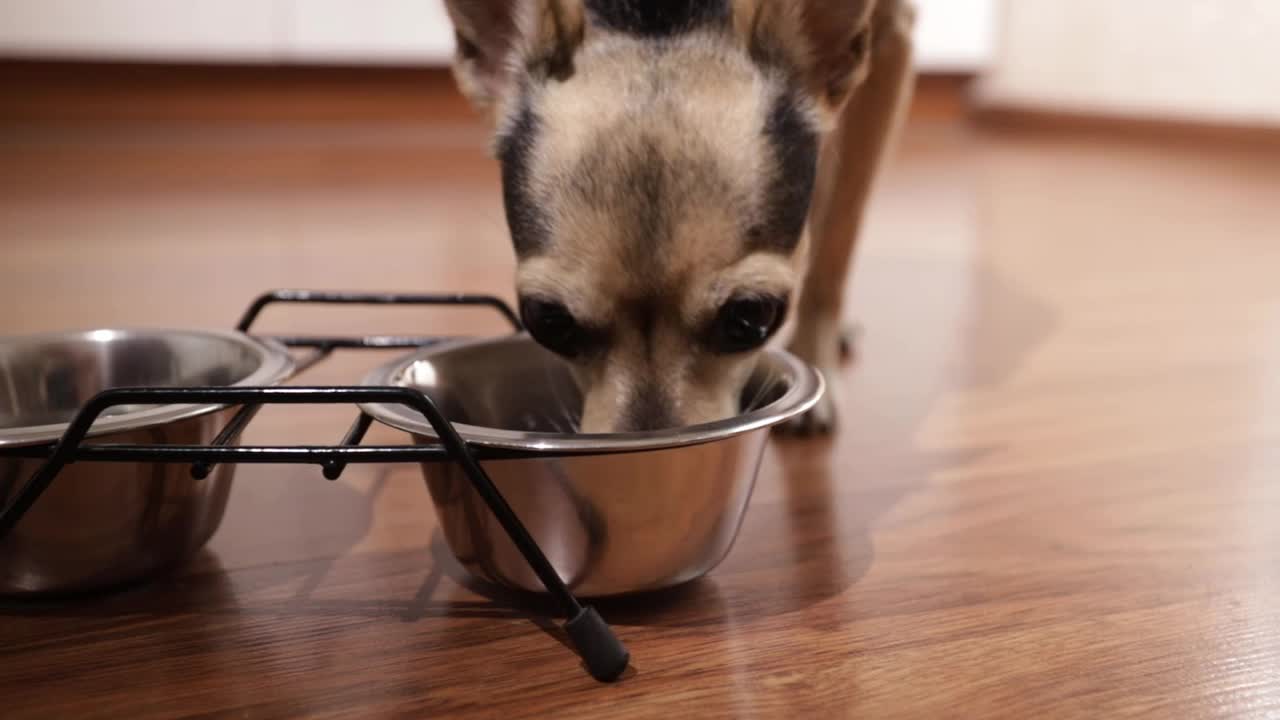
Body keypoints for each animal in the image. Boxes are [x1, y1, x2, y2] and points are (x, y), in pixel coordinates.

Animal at [445, 0, 916, 430]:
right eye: (548, 321)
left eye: (752, 316)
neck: (661, 17)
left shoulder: (893, 36)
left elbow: (835, 246)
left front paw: (815, 354)